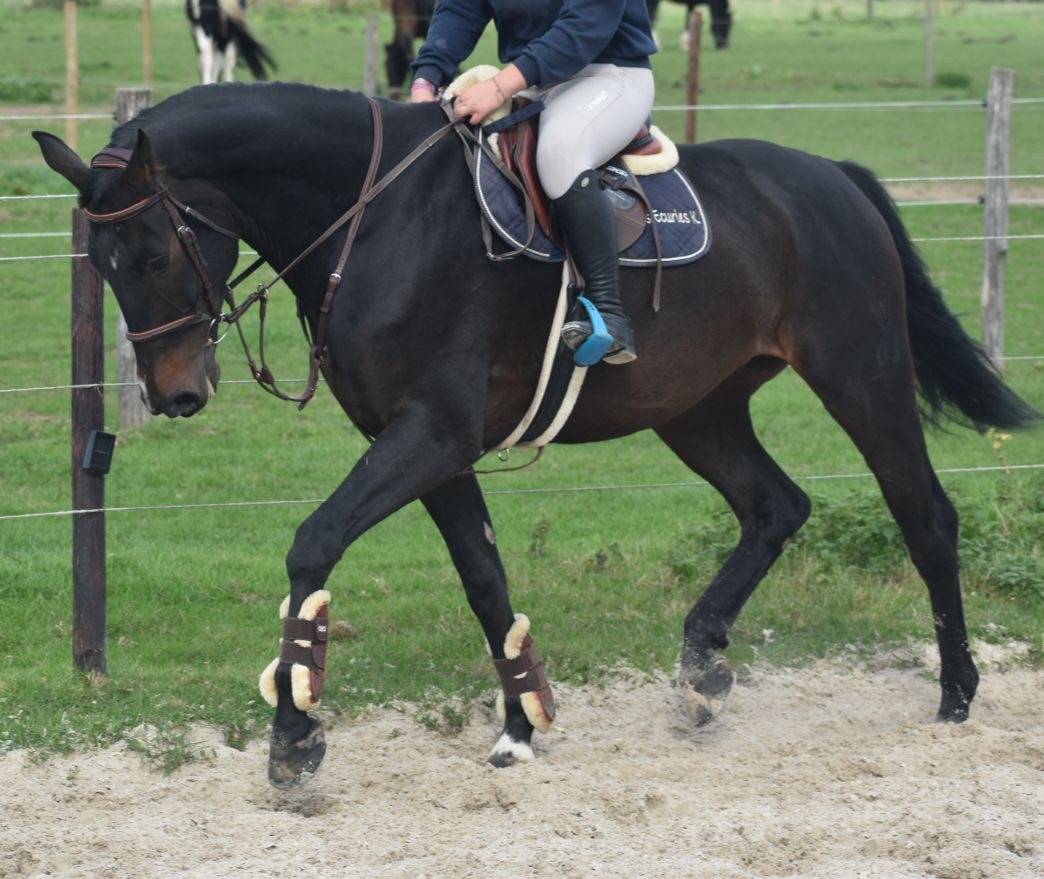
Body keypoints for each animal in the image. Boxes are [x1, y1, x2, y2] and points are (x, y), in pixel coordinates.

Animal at [33, 82, 1038, 787]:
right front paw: (521, 724)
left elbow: (313, 543)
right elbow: (487, 579)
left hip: (860, 375)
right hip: (698, 408)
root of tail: (832, 175)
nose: (175, 394)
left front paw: (295, 731)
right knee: (774, 506)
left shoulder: (430, 434)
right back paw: (701, 668)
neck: (377, 216)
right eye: (101, 263)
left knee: (924, 514)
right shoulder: (432, 448)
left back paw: (956, 690)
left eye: (154, 252)